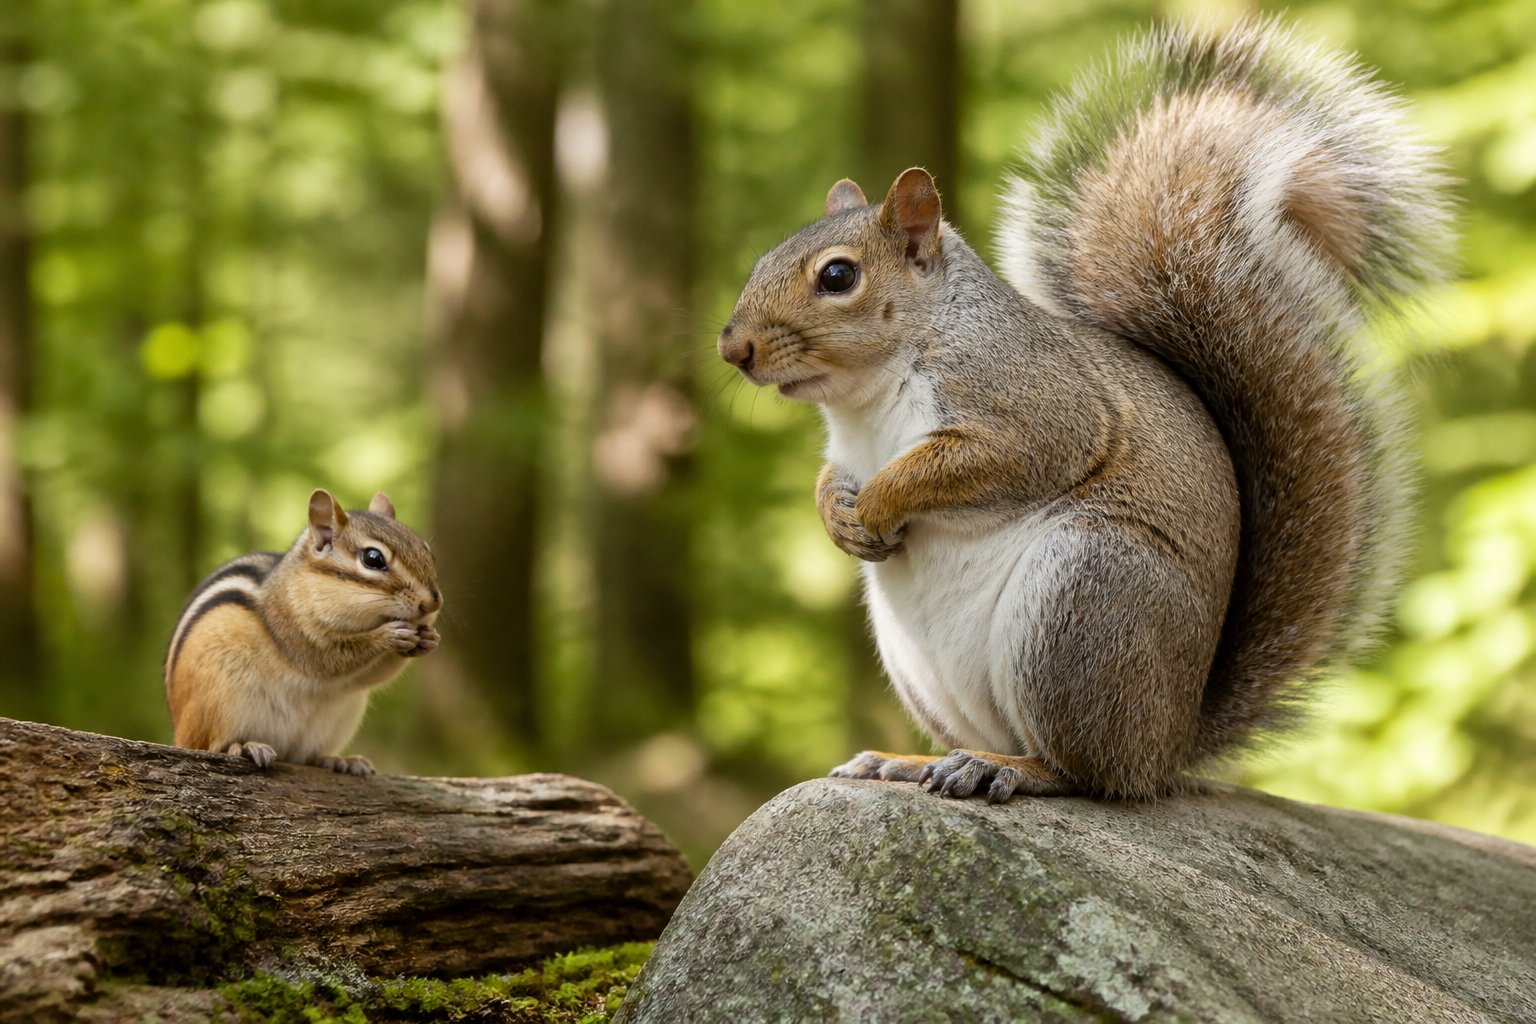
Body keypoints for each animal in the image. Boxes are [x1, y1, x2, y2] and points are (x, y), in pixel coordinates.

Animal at [164, 489, 442, 777]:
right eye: (373, 559)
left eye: (427, 551)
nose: (432, 604)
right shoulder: (294, 629)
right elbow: (329, 658)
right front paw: (387, 636)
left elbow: (370, 676)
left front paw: (429, 638)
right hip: (216, 704)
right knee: (211, 744)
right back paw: (244, 746)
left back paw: (339, 761)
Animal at [717, 20, 1449, 802]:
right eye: (761, 262)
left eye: (837, 276)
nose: (733, 347)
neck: (868, 394)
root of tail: (1170, 743)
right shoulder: (846, 447)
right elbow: (830, 478)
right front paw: (839, 517)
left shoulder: (1032, 405)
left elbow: (989, 458)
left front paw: (882, 501)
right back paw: (913, 760)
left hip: (1085, 601)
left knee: (1088, 771)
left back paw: (1007, 768)